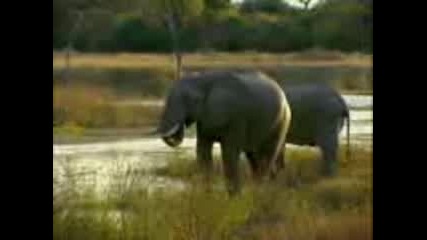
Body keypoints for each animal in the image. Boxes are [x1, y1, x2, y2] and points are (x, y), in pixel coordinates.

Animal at [153, 69, 290, 195]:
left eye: (191, 100)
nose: (182, 125)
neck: (205, 79)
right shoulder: (206, 118)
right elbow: (202, 150)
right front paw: (206, 195)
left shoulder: (235, 117)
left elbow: (229, 153)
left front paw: (234, 198)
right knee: (255, 158)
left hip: (281, 122)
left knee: (266, 157)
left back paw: (260, 191)